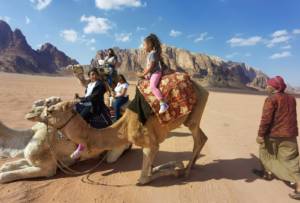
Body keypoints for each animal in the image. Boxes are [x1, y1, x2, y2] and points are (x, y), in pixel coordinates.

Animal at [0, 96, 129, 184]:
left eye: (49, 104)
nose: (30, 112)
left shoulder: (48, 168)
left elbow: (8, 175)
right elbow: (10, 165)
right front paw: (6, 166)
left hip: (115, 152)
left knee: (111, 157)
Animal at [40, 79, 209, 186]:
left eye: (51, 110)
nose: (38, 116)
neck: (125, 128)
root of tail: (204, 89)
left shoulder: (150, 144)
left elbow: (143, 179)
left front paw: (177, 171)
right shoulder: (153, 142)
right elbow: (152, 167)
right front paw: (175, 165)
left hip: (194, 114)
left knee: (198, 139)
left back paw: (186, 171)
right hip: (192, 117)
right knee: (203, 137)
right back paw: (191, 165)